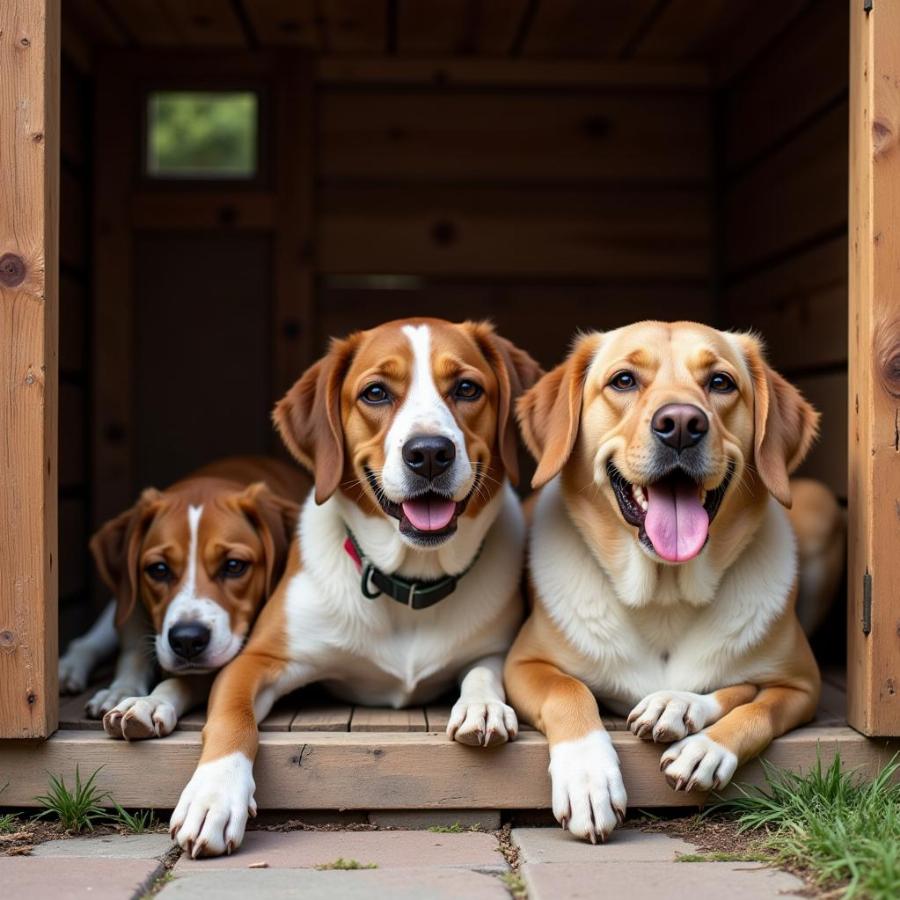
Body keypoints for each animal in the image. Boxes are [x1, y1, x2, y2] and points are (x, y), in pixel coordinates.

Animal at [59, 458, 308, 740]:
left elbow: (187, 679)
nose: (187, 640)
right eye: (158, 569)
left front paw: (150, 701)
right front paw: (123, 690)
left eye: (234, 565)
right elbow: (134, 654)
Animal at [170, 318, 540, 856]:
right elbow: (232, 720)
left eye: (467, 388)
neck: (409, 583)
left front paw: (483, 706)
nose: (429, 453)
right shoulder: (257, 659)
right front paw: (213, 796)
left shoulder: (494, 646)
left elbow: (484, 671)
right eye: (376, 392)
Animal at [506, 322, 844, 844]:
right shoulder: (524, 663)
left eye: (721, 382)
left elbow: (755, 706)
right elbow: (568, 692)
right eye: (623, 380)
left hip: (821, 504)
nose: (682, 423)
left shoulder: (803, 686)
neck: (664, 595)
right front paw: (588, 778)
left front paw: (702, 741)